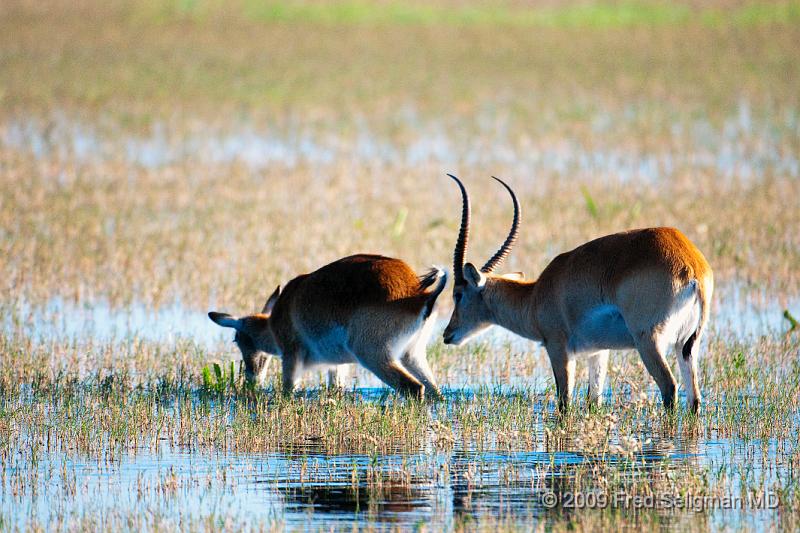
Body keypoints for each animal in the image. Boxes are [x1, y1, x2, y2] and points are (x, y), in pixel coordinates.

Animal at [209, 252, 446, 394]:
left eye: (237, 339)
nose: (251, 377)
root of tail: (420, 294)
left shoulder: (291, 357)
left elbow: (287, 391)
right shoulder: (336, 365)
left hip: (374, 355)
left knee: (413, 388)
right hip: (412, 355)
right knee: (434, 392)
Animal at [444, 175, 712, 412]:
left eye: (457, 294)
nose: (447, 334)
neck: (535, 296)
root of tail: (692, 265)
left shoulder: (557, 347)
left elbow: (565, 402)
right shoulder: (599, 351)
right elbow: (594, 400)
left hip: (649, 341)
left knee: (669, 387)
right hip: (686, 345)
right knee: (694, 398)